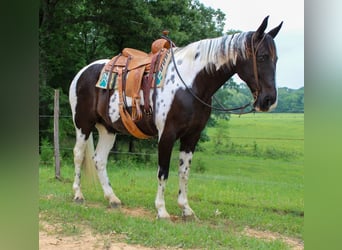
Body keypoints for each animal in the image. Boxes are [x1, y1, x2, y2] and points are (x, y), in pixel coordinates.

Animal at [69, 16, 284, 219]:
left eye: (276, 59)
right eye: (262, 56)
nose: (269, 100)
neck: (190, 83)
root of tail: (81, 73)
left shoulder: (192, 136)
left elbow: (184, 173)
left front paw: (186, 209)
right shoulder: (167, 135)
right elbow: (163, 172)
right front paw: (161, 210)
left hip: (108, 129)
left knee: (99, 160)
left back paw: (112, 198)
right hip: (83, 124)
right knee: (79, 154)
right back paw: (78, 195)